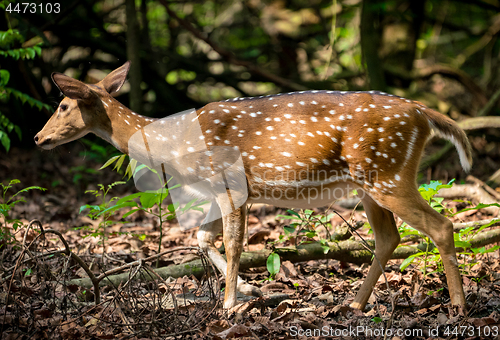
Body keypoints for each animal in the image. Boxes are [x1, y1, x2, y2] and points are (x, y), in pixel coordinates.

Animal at [35, 61, 468, 310]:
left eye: (62, 105)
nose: (39, 138)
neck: (174, 144)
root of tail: (423, 114)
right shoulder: (216, 191)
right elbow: (204, 239)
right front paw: (248, 290)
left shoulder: (229, 181)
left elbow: (232, 242)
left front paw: (229, 304)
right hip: (372, 181)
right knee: (389, 238)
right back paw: (353, 305)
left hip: (387, 173)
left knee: (441, 225)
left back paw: (458, 308)